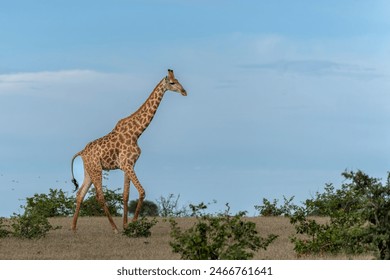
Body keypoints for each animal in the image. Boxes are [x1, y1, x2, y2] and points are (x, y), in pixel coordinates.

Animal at [71, 69, 187, 232]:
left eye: (178, 80)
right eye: (172, 82)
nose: (184, 92)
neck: (137, 133)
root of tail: (81, 152)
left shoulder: (128, 165)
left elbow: (125, 194)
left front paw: (126, 225)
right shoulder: (128, 164)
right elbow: (142, 191)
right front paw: (133, 225)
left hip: (89, 171)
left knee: (80, 194)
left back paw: (74, 227)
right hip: (96, 169)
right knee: (99, 196)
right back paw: (114, 228)